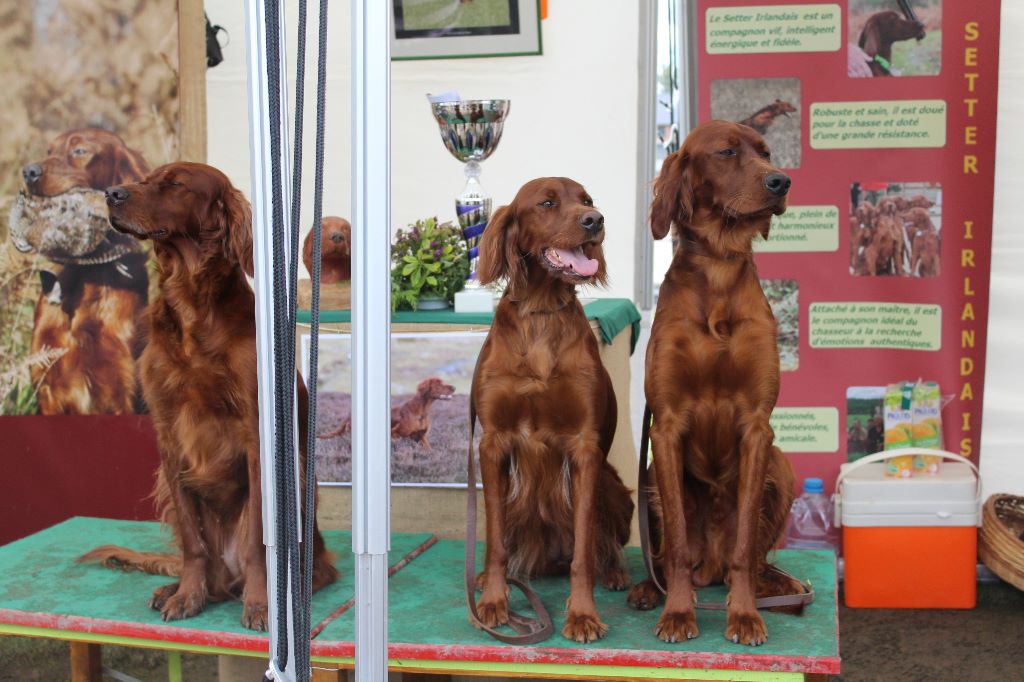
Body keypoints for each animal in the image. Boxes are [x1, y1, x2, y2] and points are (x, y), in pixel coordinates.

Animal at [80, 160, 335, 626]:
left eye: (176, 184)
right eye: (145, 179)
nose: (111, 194)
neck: (191, 303)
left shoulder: (258, 437)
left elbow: (258, 542)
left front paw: (261, 604)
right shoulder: (168, 439)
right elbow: (192, 542)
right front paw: (187, 595)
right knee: (203, 563)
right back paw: (176, 587)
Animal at [468, 178, 630, 638]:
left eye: (587, 201)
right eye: (547, 203)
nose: (596, 221)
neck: (541, 311)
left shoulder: (584, 448)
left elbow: (584, 550)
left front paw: (583, 614)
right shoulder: (493, 445)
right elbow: (496, 543)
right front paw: (493, 602)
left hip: (614, 487)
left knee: (602, 545)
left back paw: (615, 573)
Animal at [626, 120, 811, 643]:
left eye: (765, 152)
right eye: (727, 152)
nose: (781, 182)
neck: (719, 267)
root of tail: (711, 565)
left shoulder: (757, 428)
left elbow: (746, 544)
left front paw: (744, 615)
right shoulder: (665, 426)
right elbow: (677, 546)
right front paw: (678, 612)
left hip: (780, 466)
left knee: (748, 560)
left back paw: (779, 587)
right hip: (650, 478)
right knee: (670, 556)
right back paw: (651, 589)